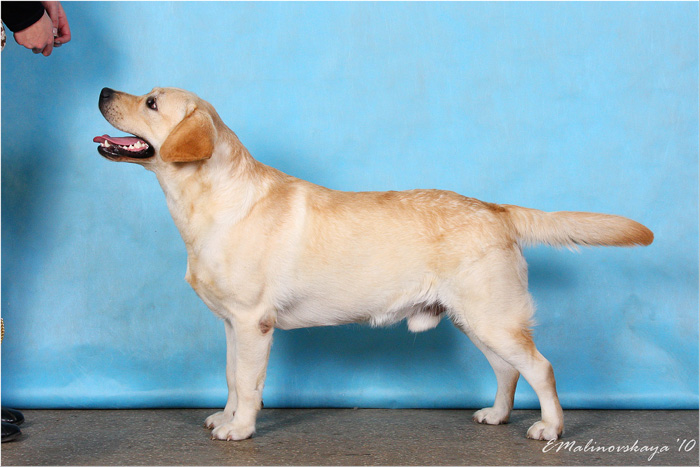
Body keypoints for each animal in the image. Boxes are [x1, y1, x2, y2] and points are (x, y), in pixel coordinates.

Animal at [95, 87, 653, 441]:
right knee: (507, 371)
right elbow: (232, 378)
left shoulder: (254, 323)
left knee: (541, 368)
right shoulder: (233, 324)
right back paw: (497, 415)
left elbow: (249, 385)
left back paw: (551, 428)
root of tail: (494, 208)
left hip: (494, 317)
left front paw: (242, 429)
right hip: (478, 320)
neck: (207, 200)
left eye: (151, 101)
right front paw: (225, 417)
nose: (101, 90)